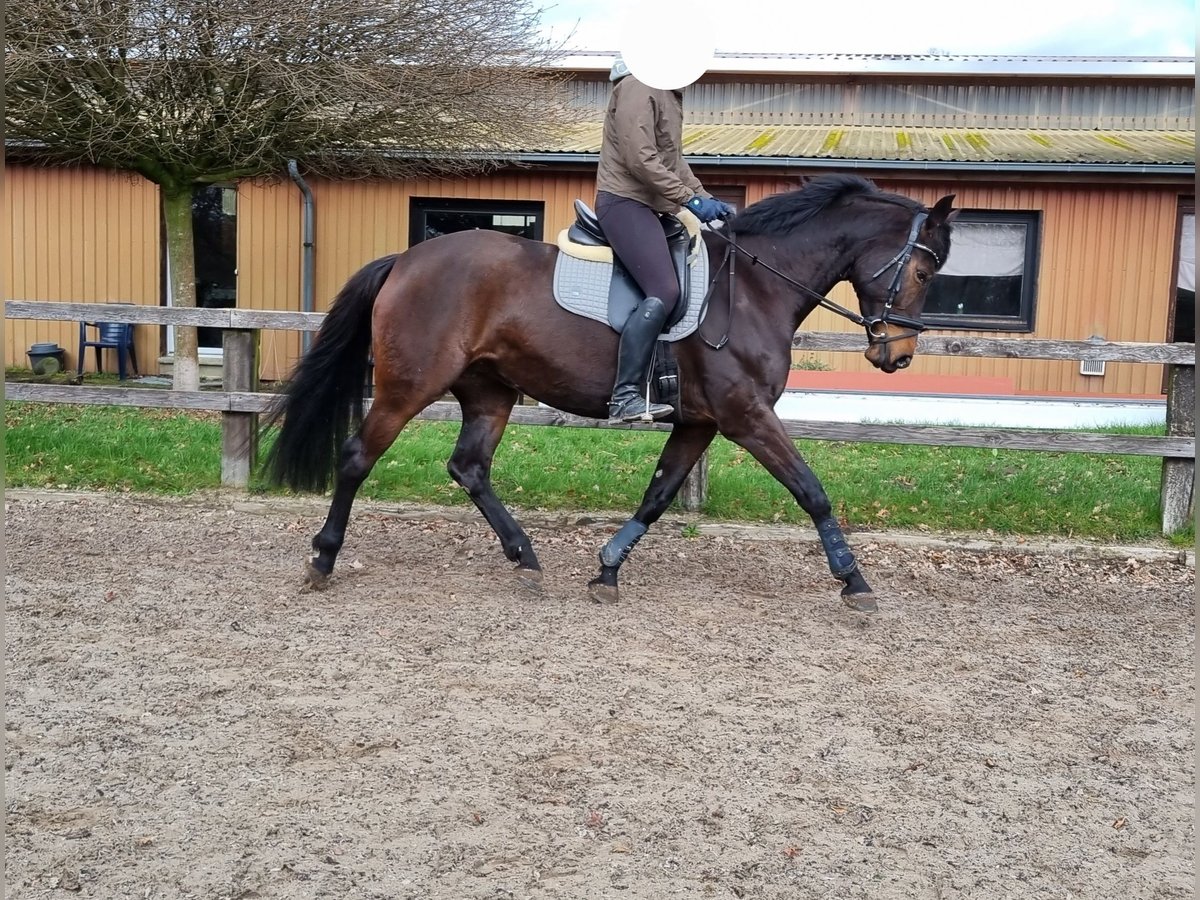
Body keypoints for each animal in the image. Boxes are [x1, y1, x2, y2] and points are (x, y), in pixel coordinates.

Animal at [265, 176, 955, 614]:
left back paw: (526, 559)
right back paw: (322, 561)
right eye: (923, 270)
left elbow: (657, 496)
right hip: (409, 387)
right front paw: (854, 581)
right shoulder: (745, 415)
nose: (896, 356)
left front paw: (606, 570)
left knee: (469, 467)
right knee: (359, 457)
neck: (755, 288)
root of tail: (406, 261)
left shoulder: (700, 422)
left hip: (490, 392)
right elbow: (811, 490)